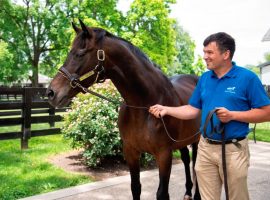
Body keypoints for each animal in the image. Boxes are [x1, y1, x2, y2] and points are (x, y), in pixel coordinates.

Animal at [47, 19, 200, 200]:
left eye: (80, 53)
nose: (51, 92)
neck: (144, 105)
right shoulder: (131, 152)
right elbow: (135, 187)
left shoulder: (164, 155)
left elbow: (162, 193)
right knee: (186, 159)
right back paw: (188, 192)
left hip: (197, 140)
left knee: (197, 165)